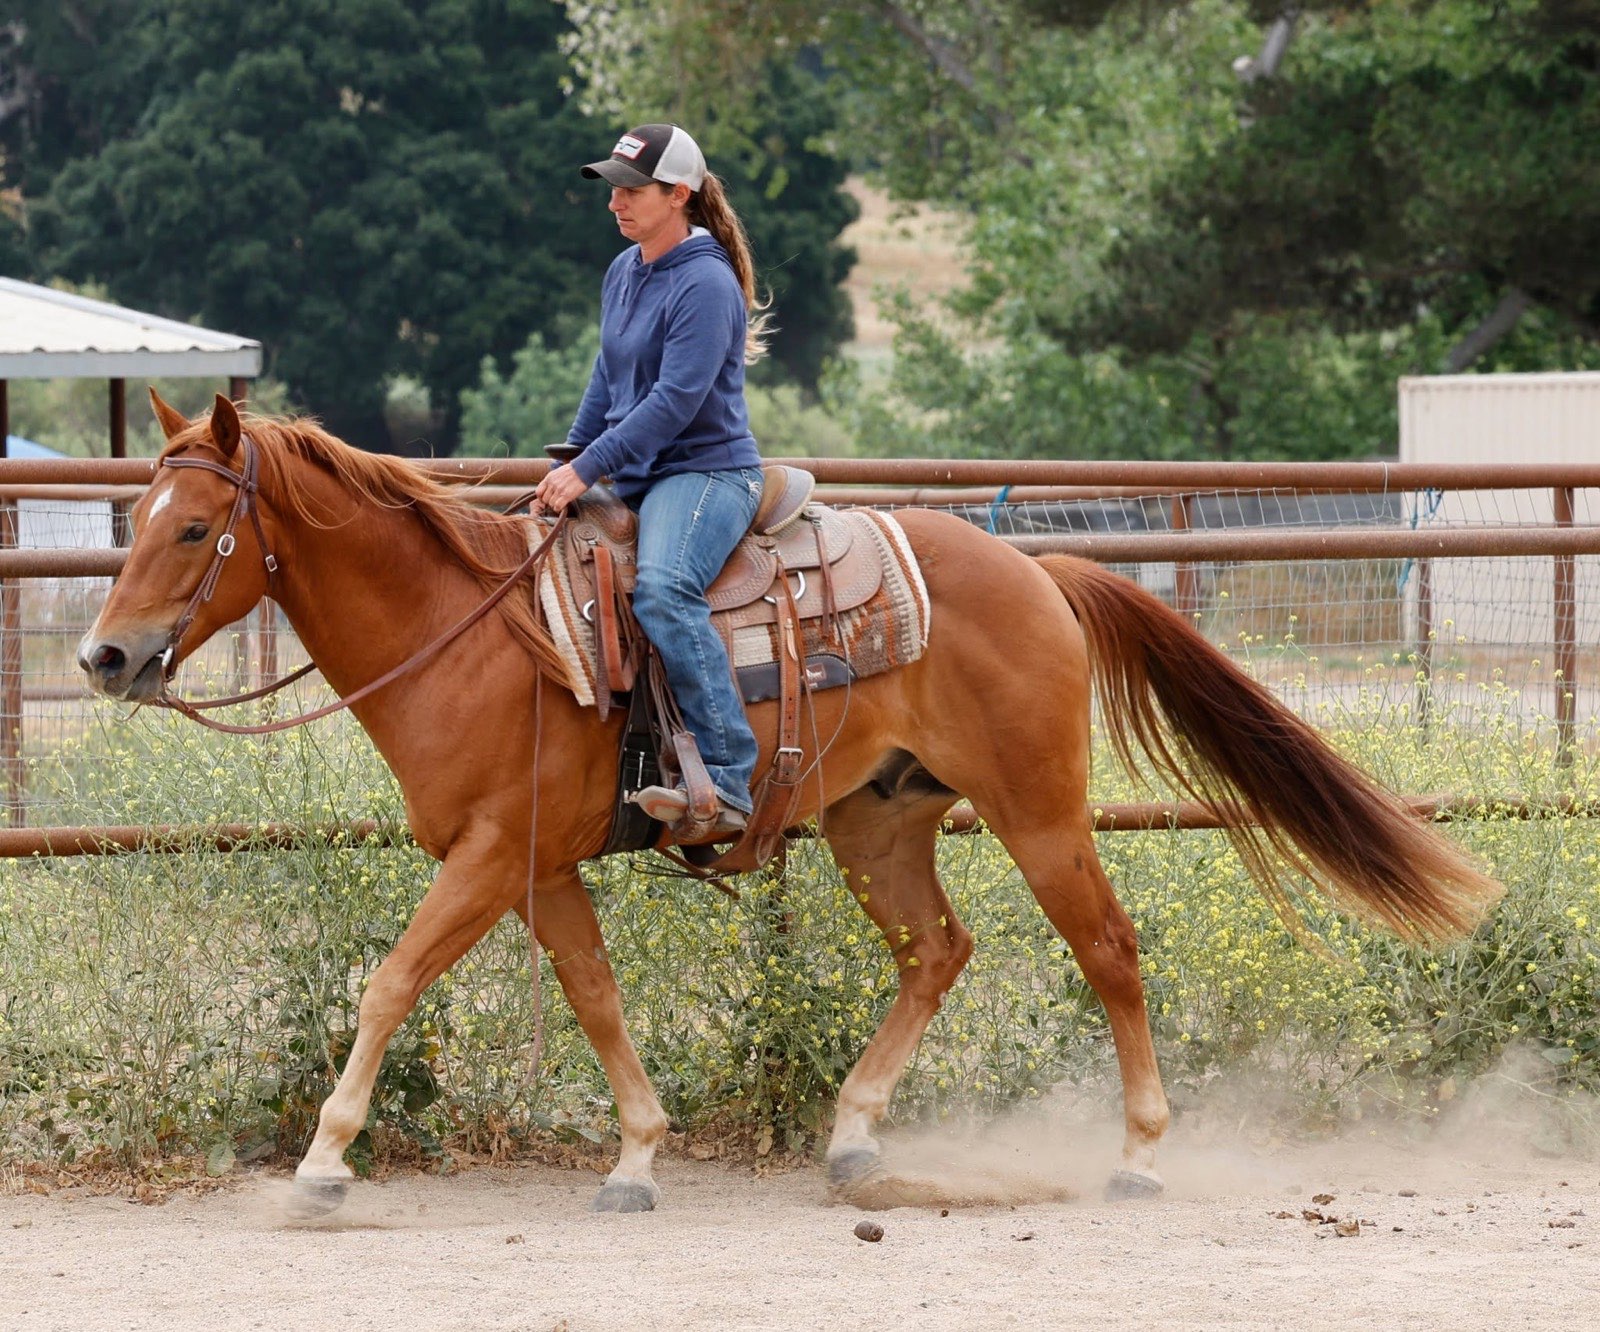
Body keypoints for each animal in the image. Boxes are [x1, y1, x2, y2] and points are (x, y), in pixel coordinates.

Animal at [80, 392, 1502, 1215]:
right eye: (133, 518)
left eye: (196, 529)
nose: (104, 657)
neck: (475, 635)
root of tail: (1036, 566)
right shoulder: (537, 867)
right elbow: (595, 996)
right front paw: (637, 1153)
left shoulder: (487, 857)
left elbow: (390, 982)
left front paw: (323, 1162)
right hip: (878, 821)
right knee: (937, 950)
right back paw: (856, 1139)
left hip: (1040, 809)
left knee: (1108, 950)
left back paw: (1140, 1155)